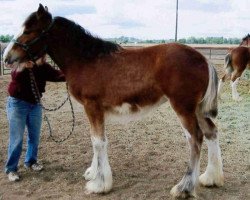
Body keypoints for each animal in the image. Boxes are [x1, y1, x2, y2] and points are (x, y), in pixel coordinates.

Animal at [2, 3, 224, 198]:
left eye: (29, 30)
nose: (7, 56)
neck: (85, 60)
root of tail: (203, 59)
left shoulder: (92, 106)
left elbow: (98, 141)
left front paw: (99, 184)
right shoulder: (94, 109)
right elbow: (95, 139)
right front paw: (93, 173)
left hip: (183, 108)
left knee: (195, 138)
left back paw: (184, 188)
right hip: (197, 109)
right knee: (211, 132)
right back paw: (210, 178)